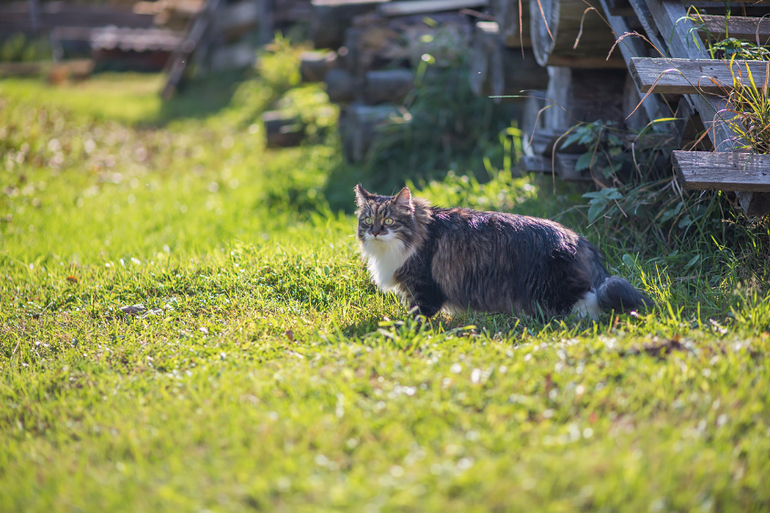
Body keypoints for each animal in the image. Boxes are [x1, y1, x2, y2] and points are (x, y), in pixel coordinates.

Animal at [354, 184, 651, 320]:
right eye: (367, 220)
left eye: (389, 220)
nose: (375, 231)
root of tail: (579, 239)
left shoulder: (424, 285)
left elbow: (419, 314)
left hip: (551, 290)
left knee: (589, 304)